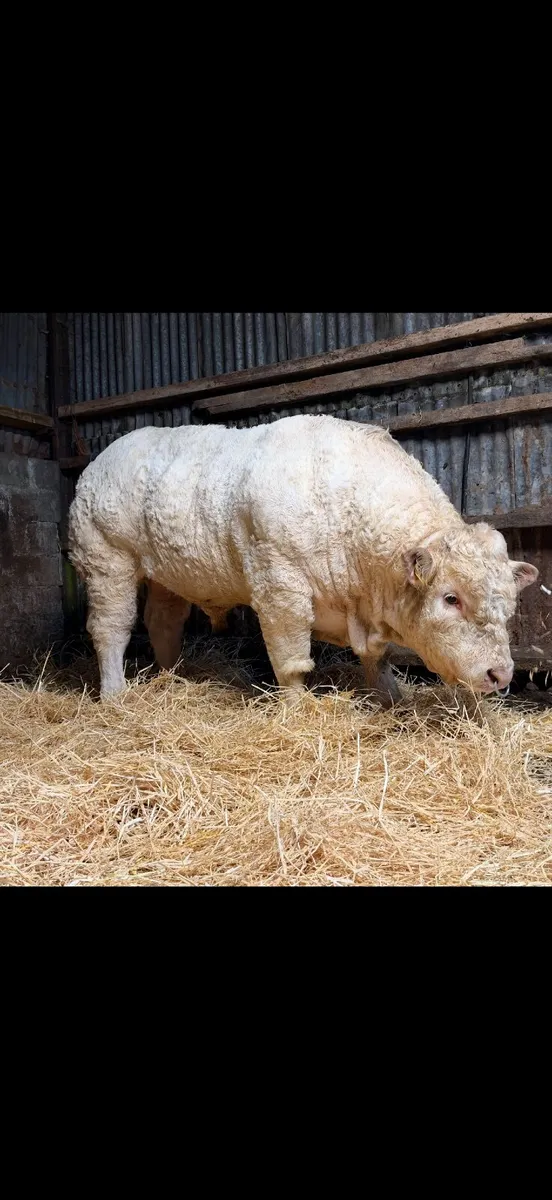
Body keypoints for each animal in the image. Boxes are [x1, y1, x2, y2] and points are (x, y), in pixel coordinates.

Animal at [68, 415, 538, 703]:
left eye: (510, 606)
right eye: (450, 598)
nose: (501, 675)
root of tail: (100, 461)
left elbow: (379, 658)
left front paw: (391, 698)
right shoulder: (280, 589)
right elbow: (290, 658)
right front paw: (297, 708)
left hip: (169, 575)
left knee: (163, 623)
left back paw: (174, 677)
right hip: (107, 561)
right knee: (111, 628)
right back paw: (115, 694)